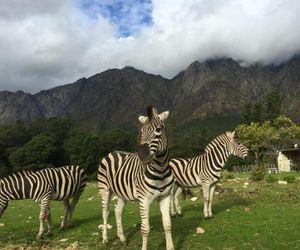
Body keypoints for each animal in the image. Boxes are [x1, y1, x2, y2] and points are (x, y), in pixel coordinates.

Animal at [98, 106, 173, 250]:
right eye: (141, 132)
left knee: (118, 210)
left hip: (122, 193)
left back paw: (122, 238)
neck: (160, 171)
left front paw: (170, 247)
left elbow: (167, 225)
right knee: (105, 212)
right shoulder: (144, 199)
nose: (142, 155)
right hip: (105, 189)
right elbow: (145, 229)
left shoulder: (165, 197)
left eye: (158, 129)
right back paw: (105, 239)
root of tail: (112, 152)